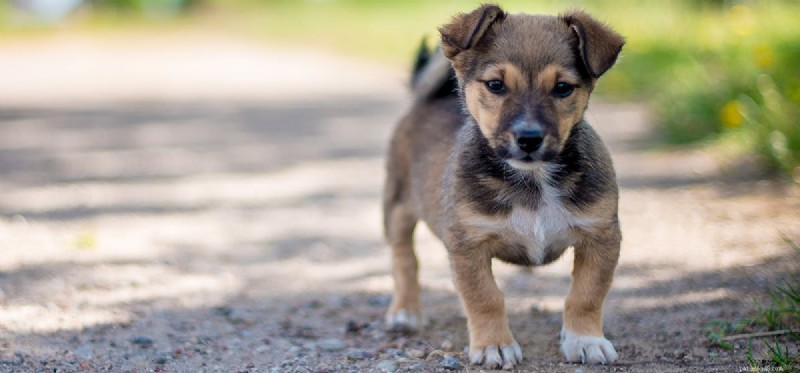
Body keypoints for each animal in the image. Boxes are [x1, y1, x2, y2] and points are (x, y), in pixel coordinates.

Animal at [382, 3, 624, 370]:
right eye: (496, 85)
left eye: (563, 88)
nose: (529, 138)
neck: (534, 179)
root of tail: (430, 99)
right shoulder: (468, 245)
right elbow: (485, 297)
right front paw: (494, 345)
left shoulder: (601, 236)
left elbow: (586, 295)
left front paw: (585, 340)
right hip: (396, 208)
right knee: (404, 260)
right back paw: (405, 311)